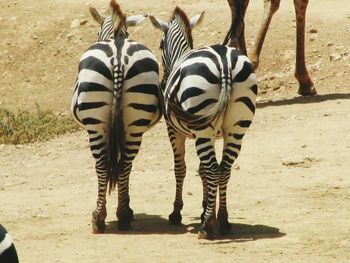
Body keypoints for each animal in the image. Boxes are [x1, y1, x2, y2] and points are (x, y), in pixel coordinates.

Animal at [71, 1, 161, 234]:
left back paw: (99, 218)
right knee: (125, 164)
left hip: (96, 125)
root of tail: (119, 57)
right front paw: (127, 207)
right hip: (135, 122)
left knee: (103, 165)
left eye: (96, 32)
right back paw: (123, 216)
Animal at [150, 7, 258, 240]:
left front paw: (177, 212)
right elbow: (202, 170)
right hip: (235, 129)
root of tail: (223, 62)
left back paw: (207, 226)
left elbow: (181, 168)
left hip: (202, 129)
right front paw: (205, 208)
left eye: (160, 45)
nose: (162, 82)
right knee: (223, 169)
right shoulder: (214, 134)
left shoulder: (174, 131)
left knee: (213, 168)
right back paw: (223, 220)